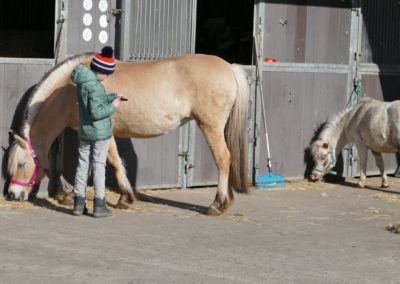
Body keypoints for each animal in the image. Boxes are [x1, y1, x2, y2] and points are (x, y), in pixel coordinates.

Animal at [5, 53, 250, 215]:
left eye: (21, 164)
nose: (12, 194)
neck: (69, 87)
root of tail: (229, 67)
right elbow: (98, 163)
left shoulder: (103, 131)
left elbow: (111, 161)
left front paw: (124, 198)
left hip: (210, 126)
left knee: (223, 159)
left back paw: (217, 205)